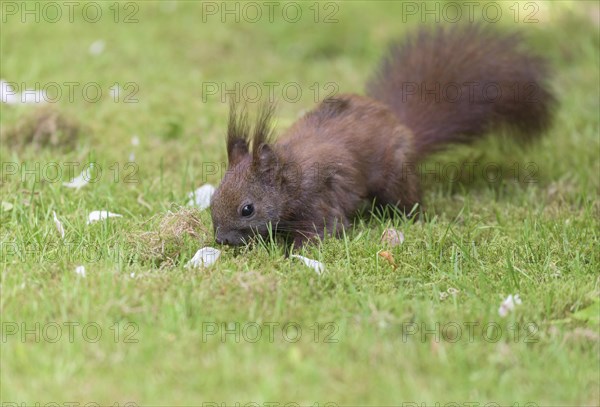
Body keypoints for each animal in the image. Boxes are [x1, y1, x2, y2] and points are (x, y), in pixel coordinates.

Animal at [210, 26, 552, 249]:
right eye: (213, 198)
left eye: (247, 209)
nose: (222, 240)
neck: (290, 176)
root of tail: (402, 126)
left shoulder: (320, 197)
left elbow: (324, 227)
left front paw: (295, 251)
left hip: (395, 175)